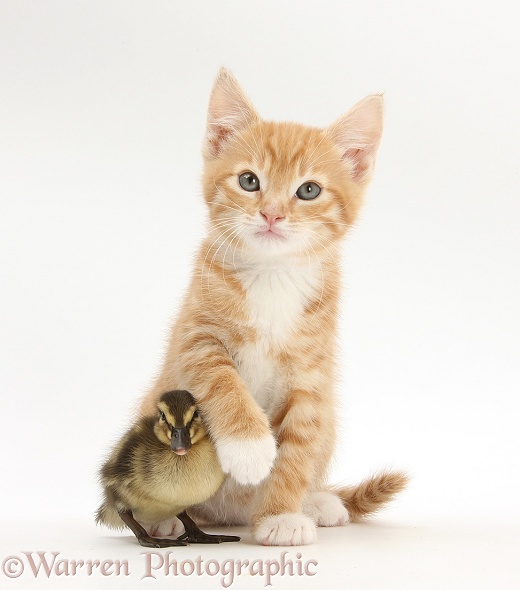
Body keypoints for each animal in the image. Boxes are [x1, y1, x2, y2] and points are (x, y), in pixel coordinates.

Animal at [139, 68, 406, 544]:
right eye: (249, 181)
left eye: (309, 190)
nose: (272, 214)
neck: (272, 275)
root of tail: (230, 515)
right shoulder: (195, 336)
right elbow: (222, 380)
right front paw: (249, 447)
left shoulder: (311, 372)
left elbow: (299, 445)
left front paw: (280, 515)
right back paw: (164, 517)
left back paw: (316, 502)